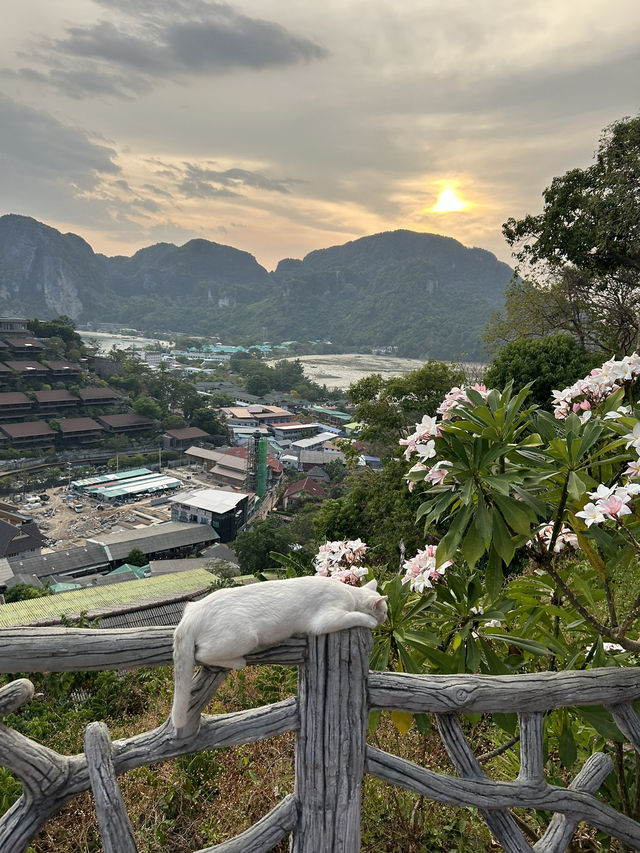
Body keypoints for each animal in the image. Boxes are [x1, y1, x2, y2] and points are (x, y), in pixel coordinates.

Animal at [170, 572, 388, 724]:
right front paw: (369, 621)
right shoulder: (326, 620)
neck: (350, 593)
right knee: (202, 653)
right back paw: (238, 661)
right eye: (384, 611)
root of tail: (188, 619)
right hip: (245, 637)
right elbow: (355, 616)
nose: (386, 618)